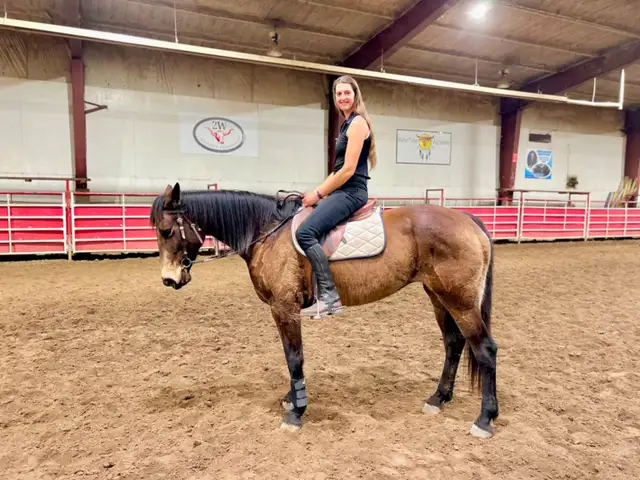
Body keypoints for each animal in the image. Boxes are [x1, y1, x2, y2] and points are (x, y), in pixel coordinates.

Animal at [149, 182, 498, 439]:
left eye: (166, 231)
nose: (169, 279)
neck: (267, 232)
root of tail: (467, 219)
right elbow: (290, 357)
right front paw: (292, 398)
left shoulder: (285, 308)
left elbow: (294, 357)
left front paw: (296, 413)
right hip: (438, 296)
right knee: (453, 343)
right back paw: (438, 399)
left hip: (459, 300)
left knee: (485, 349)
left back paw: (484, 419)